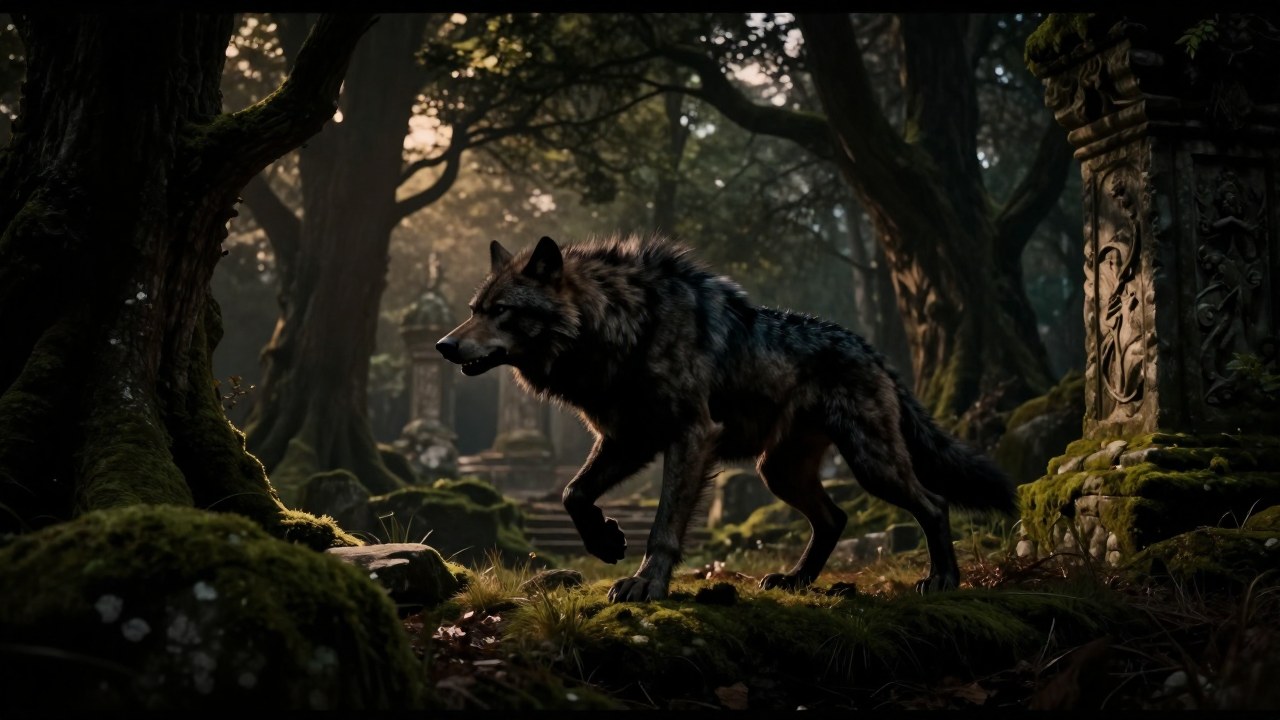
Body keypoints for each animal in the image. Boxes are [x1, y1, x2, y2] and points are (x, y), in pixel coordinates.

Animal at [436, 235, 1017, 602]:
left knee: (933, 503)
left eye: (500, 311)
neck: (623, 328)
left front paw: (645, 585)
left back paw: (942, 580)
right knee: (835, 518)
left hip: (871, 464)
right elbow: (572, 494)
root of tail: (871, 350)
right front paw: (605, 542)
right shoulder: (626, 439)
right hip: (777, 473)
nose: (443, 345)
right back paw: (795, 581)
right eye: (473, 308)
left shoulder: (690, 437)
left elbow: (663, 526)